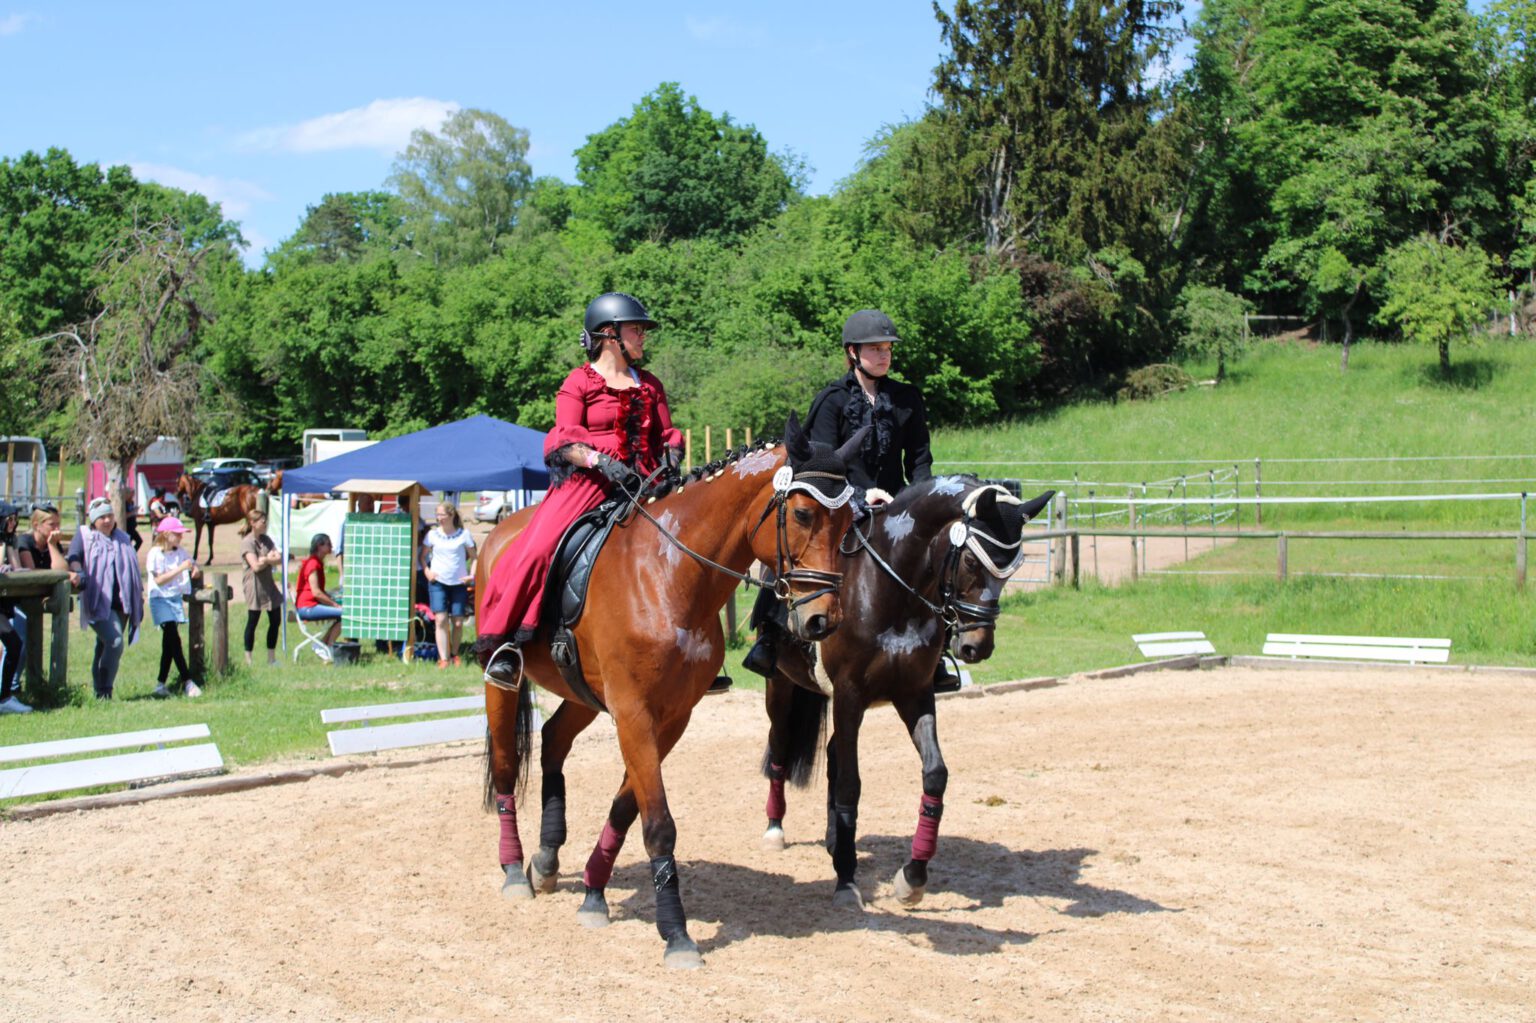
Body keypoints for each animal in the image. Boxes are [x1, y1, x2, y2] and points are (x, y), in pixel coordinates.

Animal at [473, 411, 872, 964]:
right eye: (803, 514)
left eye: (851, 522)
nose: (821, 622)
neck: (670, 573)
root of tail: (501, 532)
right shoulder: (634, 712)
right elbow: (658, 821)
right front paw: (677, 933)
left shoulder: (671, 715)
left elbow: (628, 805)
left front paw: (595, 891)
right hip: (503, 680)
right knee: (509, 766)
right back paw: (514, 870)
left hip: (584, 694)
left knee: (553, 741)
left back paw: (548, 858)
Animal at [761, 479, 1050, 909]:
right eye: (970, 562)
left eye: (1013, 569)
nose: (977, 647)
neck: (893, 591)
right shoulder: (849, 694)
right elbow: (850, 784)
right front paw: (846, 880)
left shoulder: (914, 694)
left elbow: (935, 775)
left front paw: (912, 877)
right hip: (782, 686)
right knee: (780, 745)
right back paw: (775, 829)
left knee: (831, 754)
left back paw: (833, 840)